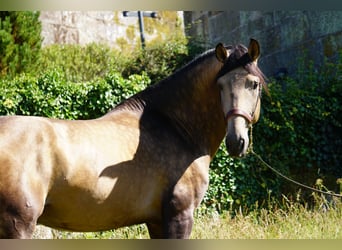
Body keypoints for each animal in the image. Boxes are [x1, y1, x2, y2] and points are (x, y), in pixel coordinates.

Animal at [0, 38, 268, 238]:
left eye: (253, 84)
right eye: (220, 86)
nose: (236, 142)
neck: (175, 127)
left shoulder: (156, 221)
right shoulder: (180, 216)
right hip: (18, 226)